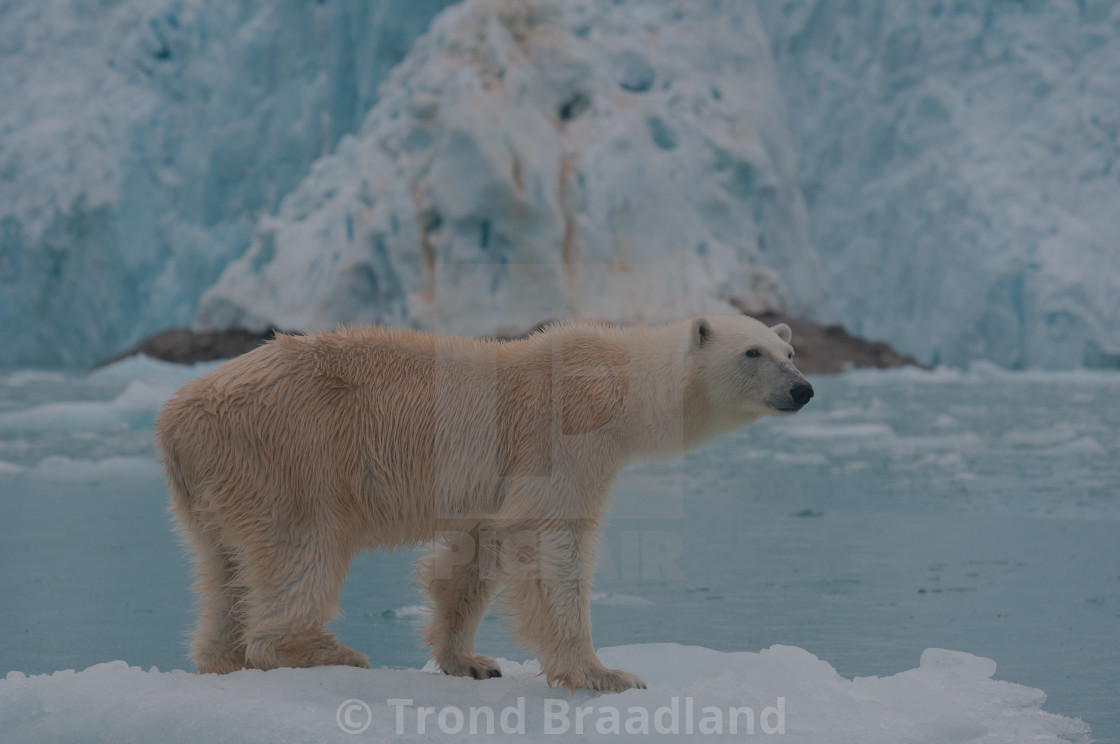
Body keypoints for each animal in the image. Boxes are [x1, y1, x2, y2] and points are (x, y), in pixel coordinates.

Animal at [153, 311, 810, 690]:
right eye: (753, 352)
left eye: (789, 352)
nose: (803, 389)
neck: (619, 382)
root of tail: (174, 418)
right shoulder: (560, 439)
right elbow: (552, 544)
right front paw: (603, 673)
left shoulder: (494, 484)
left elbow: (474, 555)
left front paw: (469, 660)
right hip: (286, 458)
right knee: (300, 552)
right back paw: (322, 650)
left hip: (211, 487)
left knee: (221, 567)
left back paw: (221, 657)